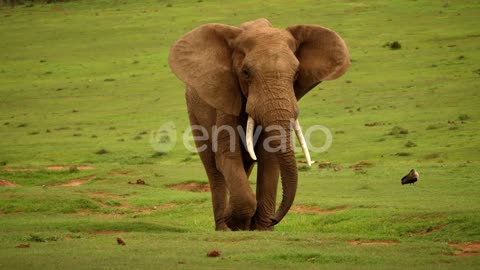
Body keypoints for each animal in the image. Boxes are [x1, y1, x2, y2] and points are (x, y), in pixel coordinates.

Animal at [169, 18, 348, 230]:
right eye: (245, 73)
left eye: (296, 74)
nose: (275, 219)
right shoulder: (226, 99)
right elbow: (227, 156)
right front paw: (237, 223)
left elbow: (269, 160)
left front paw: (261, 229)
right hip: (195, 113)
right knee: (213, 169)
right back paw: (224, 227)